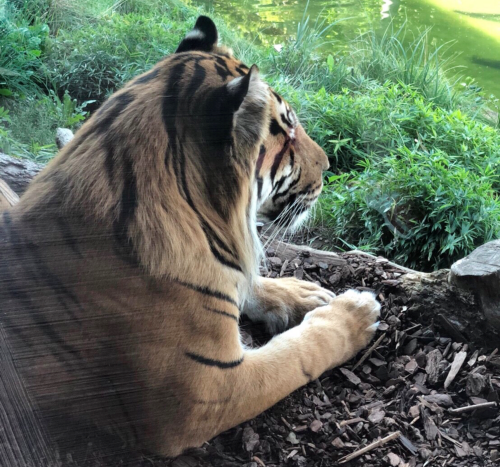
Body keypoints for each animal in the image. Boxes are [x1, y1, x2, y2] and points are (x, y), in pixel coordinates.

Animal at [0, 15, 378, 464]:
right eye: (287, 132)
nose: (330, 165)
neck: (204, 222)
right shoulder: (207, 391)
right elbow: (299, 351)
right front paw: (353, 313)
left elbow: (247, 284)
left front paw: (303, 293)